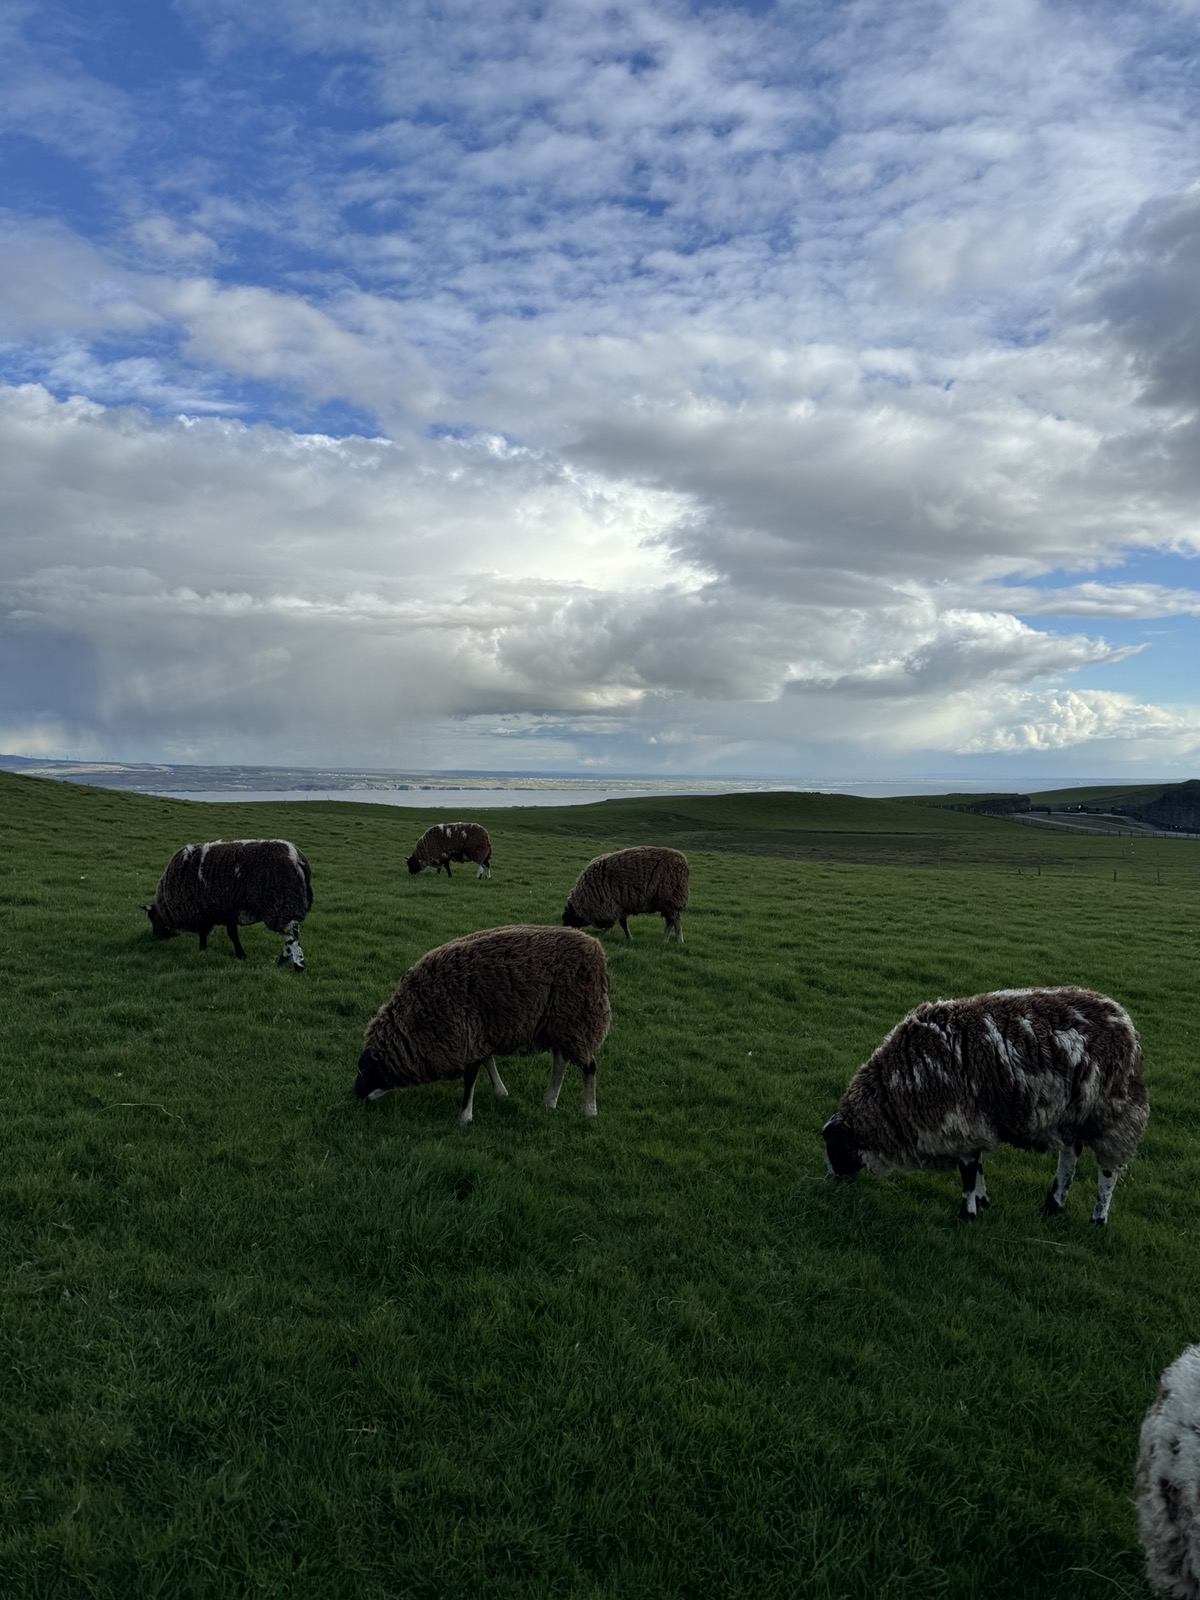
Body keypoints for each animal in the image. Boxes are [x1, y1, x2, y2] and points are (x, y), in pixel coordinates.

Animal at [145, 838, 313, 970]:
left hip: (280, 905)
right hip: (288, 906)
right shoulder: (227, 911)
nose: (154, 937)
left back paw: (298, 965)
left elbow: (214, 933)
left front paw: (207, 951)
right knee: (293, 932)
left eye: (152, 918)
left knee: (292, 937)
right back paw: (282, 961)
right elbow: (226, 933)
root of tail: (296, 856)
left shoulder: (206, 912)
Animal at [355, 924, 610, 1124]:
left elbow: (471, 1078)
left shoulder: (464, 1036)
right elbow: (487, 1061)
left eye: (366, 1070)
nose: (355, 1095)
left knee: (589, 1067)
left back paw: (589, 1111)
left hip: (580, 1021)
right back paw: (549, 1101)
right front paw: (500, 1091)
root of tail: (595, 948)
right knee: (560, 1062)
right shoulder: (478, 1034)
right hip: (561, 1026)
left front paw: (464, 1117)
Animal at [821, 986, 1147, 1224]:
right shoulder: (971, 1125)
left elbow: (967, 1173)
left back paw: (1098, 1218)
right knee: (1069, 1155)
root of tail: (1122, 1017)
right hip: (1071, 1114)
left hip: (1115, 1113)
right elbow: (976, 1167)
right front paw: (982, 1201)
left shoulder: (958, 1123)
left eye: (834, 1144)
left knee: (1108, 1171)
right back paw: (1053, 1204)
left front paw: (966, 1215)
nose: (830, 1178)